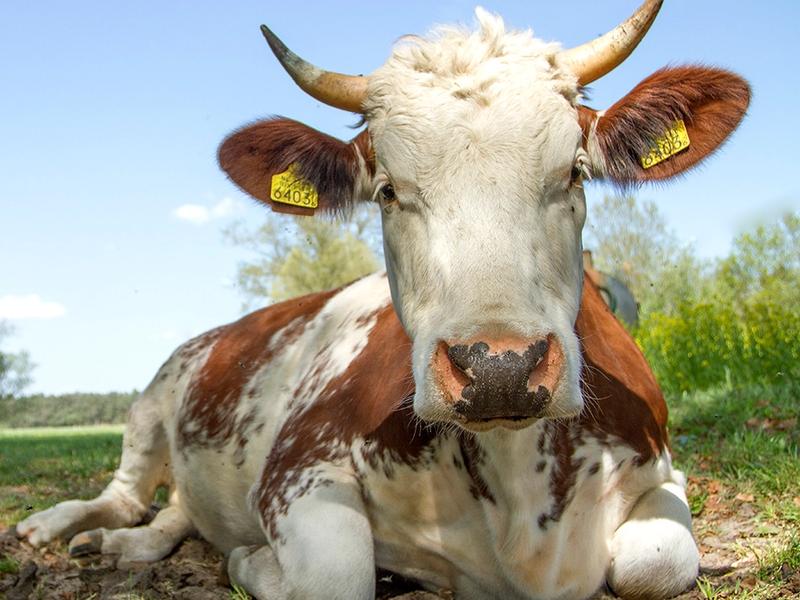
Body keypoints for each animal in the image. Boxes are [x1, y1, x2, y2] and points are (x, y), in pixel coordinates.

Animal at [17, 2, 750, 598]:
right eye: (389, 190)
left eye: (574, 172)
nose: (499, 367)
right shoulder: (297, 467)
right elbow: (335, 576)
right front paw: (249, 560)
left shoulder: (664, 475)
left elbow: (655, 564)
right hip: (152, 400)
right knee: (124, 493)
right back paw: (56, 526)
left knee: (171, 513)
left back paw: (128, 543)